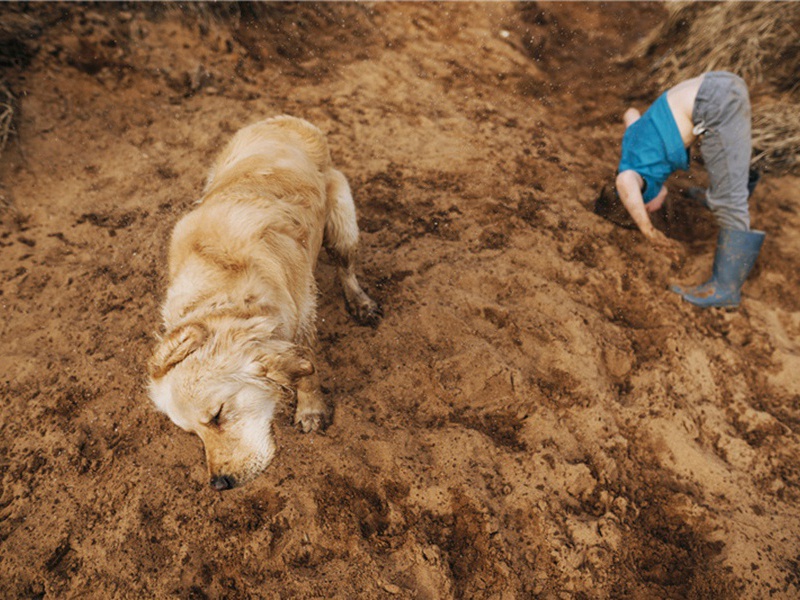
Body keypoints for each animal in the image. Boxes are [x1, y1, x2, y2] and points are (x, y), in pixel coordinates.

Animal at [148, 115, 382, 490]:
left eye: (218, 415)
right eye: (191, 433)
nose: (219, 484)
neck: (222, 288)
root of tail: (283, 119)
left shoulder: (302, 312)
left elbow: (308, 371)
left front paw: (310, 410)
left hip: (342, 224)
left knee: (346, 268)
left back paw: (360, 302)